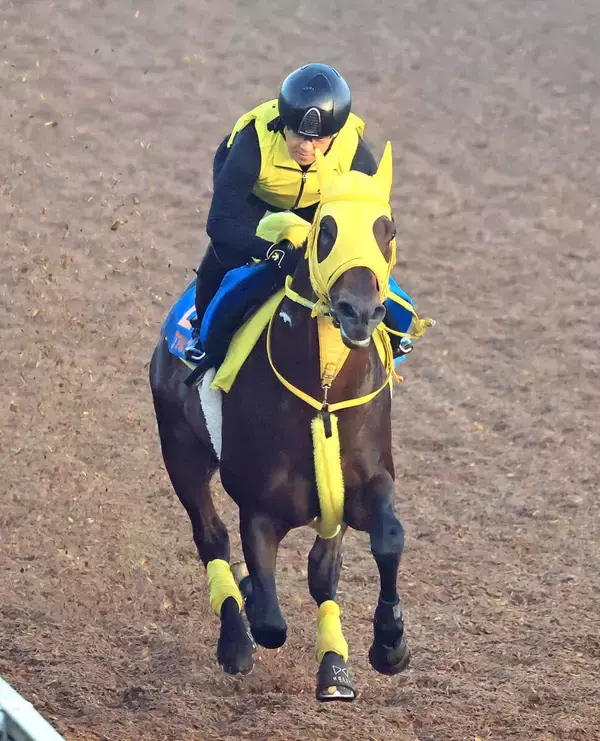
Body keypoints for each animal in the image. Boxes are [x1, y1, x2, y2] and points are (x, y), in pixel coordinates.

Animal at [149, 142, 433, 701]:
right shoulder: (259, 507)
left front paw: (388, 645)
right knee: (211, 537)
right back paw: (234, 641)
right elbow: (270, 623)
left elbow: (385, 541)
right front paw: (251, 612)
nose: (360, 311)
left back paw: (334, 663)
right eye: (324, 229)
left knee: (321, 571)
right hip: (179, 449)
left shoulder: (361, 487)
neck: (321, 395)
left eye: (386, 229)